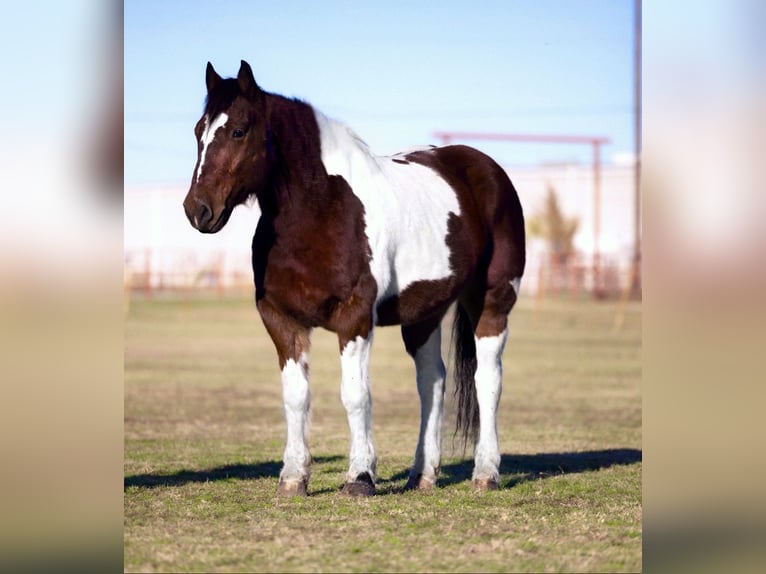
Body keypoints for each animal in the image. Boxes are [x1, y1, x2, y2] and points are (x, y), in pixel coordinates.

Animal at [183, 59, 524, 500]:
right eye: (199, 131)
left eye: (238, 130)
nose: (198, 209)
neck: (322, 208)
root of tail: (486, 168)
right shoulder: (281, 320)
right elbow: (296, 397)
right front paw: (293, 477)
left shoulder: (355, 318)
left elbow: (355, 395)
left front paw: (360, 476)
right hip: (423, 314)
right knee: (432, 382)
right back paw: (422, 474)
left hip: (492, 301)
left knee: (488, 381)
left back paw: (486, 472)